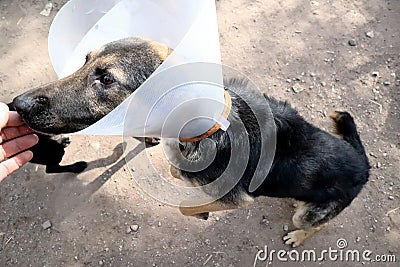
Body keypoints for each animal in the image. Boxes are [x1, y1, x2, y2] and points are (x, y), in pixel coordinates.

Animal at [10, 37, 370, 247]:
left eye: (107, 79)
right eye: (85, 61)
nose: (16, 104)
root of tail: (363, 166)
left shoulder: (237, 200)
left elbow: (188, 206)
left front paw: (200, 212)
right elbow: (175, 170)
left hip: (311, 215)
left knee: (313, 226)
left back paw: (297, 235)